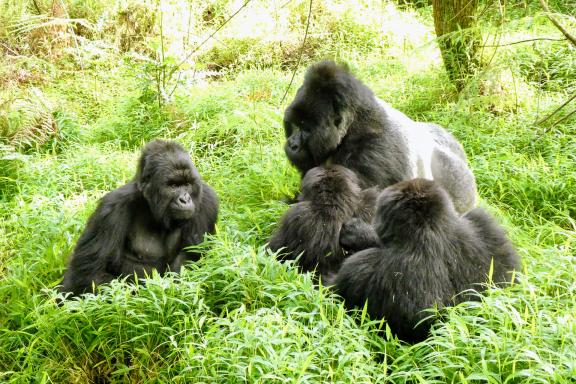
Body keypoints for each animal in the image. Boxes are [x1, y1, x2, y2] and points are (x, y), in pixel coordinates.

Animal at [60, 140, 218, 296]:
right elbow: (90, 270)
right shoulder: (111, 208)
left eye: (187, 184)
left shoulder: (207, 201)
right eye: (173, 186)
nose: (185, 199)